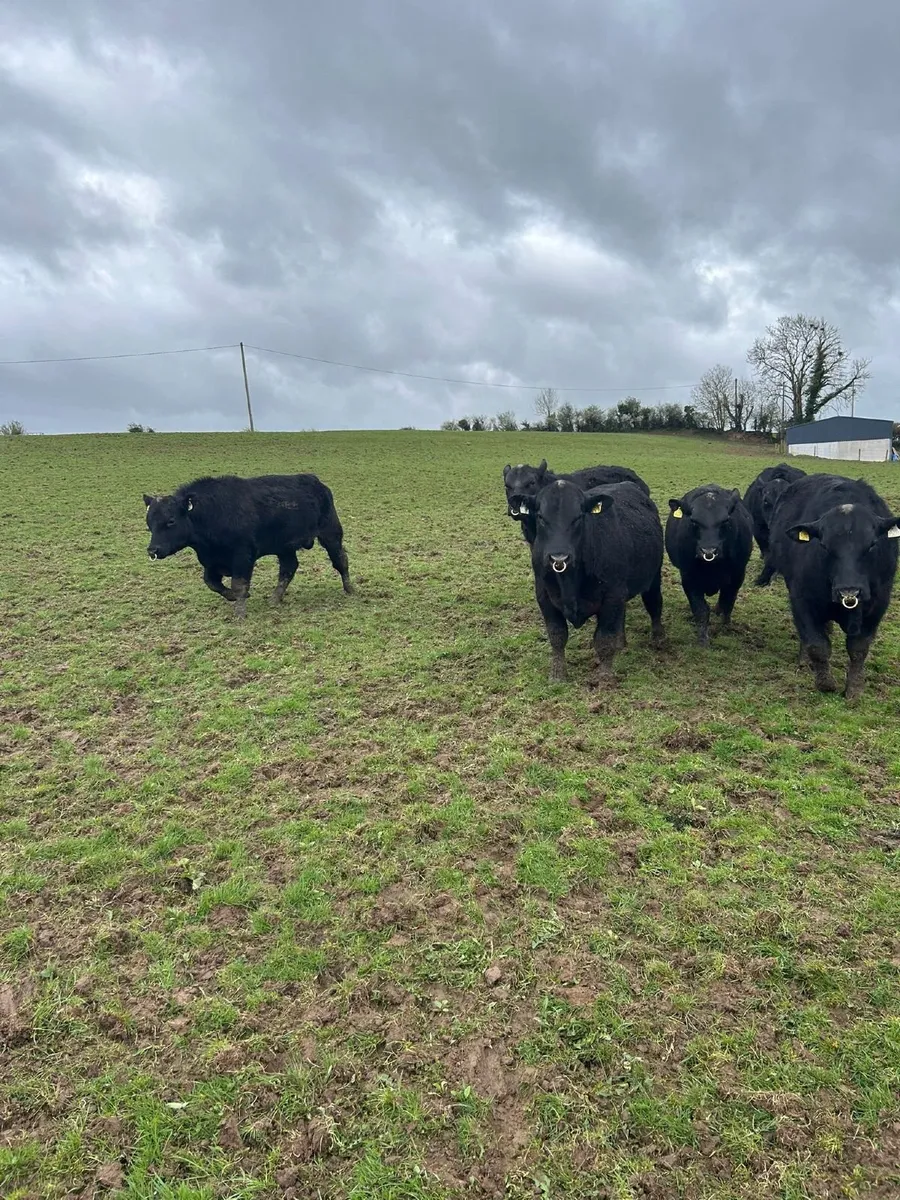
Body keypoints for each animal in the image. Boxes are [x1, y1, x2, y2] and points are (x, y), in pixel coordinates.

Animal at [143, 472, 353, 620]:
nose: (153, 550)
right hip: (284, 548)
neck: (213, 512)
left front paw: (239, 613)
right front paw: (232, 597)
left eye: (171, 521)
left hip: (331, 534)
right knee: (288, 569)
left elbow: (239, 585)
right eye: (149, 523)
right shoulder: (211, 561)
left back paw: (350, 589)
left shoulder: (243, 557)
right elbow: (212, 583)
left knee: (340, 560)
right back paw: (275, 598)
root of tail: (316, 482)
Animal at [528, 478, 666, 684]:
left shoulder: (612, 595)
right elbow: (557, 636)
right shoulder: (544, 596)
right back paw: (621, 643)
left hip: (653, 575)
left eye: (578, 517)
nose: (559, 557)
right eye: (541, 517)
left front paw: (605, 678)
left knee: (654, 604)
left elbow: (603, 639)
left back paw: (658, 639)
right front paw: (557, 675)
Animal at [665, 484, 753, 645]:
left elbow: (728, 602)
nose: (709, 551)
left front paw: (725, 627)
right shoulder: (688, 578)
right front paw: (703, 639)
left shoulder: (738, 574)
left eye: (725, 521)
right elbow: (700, 609)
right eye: (694, 521)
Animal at [766, 473, 900, 698]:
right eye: (824, 545)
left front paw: (854, 689)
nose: (849, 591)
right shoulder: (802, 600)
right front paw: (825, 683)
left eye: (872, 544)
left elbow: (859, 648)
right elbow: (816, 644)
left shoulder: (878, 605)